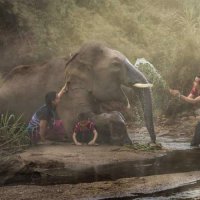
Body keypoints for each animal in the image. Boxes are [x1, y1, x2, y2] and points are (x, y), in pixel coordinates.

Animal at [0, 43, 155, 145]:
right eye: (116, 64)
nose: (153, 143)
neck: (75, 58)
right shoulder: (66, 93)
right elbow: (74, 122)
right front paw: (122, 139)